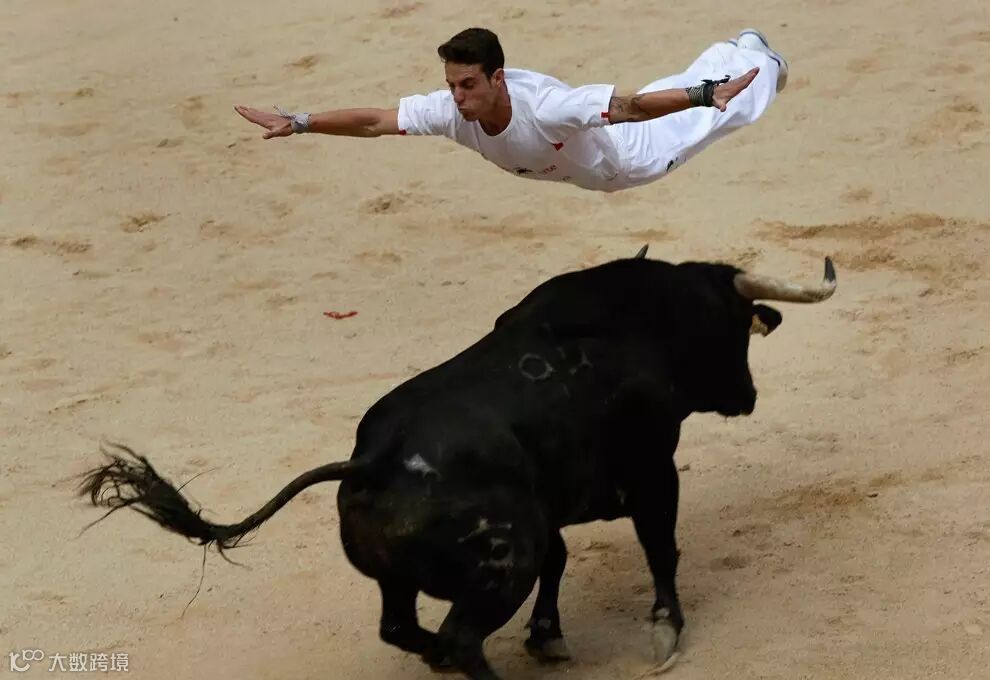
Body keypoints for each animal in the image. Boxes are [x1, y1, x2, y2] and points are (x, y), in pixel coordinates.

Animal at [77, 248, 837, 680]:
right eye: (736, 328)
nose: (747, 397)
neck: (646, 319)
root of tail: (370, 462)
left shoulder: (549, 509)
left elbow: (563, 560)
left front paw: (548, 639)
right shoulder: (652, 470)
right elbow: (660, 549)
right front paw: (664, 631)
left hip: (412, 574)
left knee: (401, 627)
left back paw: (440, 660)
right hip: (503, 564)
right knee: (462, 636)